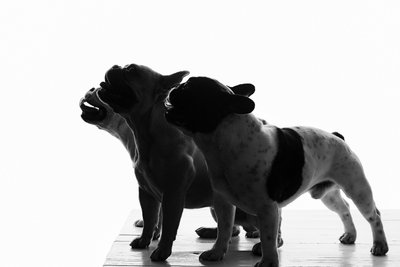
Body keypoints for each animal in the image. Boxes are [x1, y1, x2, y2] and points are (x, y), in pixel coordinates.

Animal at [86, 64, 268, 262]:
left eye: (132, 70)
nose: (116, 66)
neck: (147, 136)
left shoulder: (173, 195)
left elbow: (169, 225)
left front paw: (162, 251)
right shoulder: (147, 194)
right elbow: (149, 219)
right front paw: (144, 240)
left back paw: (259, 245)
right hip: (217, 206)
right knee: (230, 226)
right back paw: (211, 232)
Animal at [165, 76, 388, 267]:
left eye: (188, 88)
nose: (175, 87)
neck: (224, 144)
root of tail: (337, 136)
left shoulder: (268, 208)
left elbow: (268, 237)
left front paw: (268, 262)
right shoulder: (223, 202)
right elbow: (224, 229)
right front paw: (217, 252)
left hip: (356, 187)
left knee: (373, 214)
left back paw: (380, 245)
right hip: (327, 194)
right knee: (344, 209)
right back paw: (350, 235)